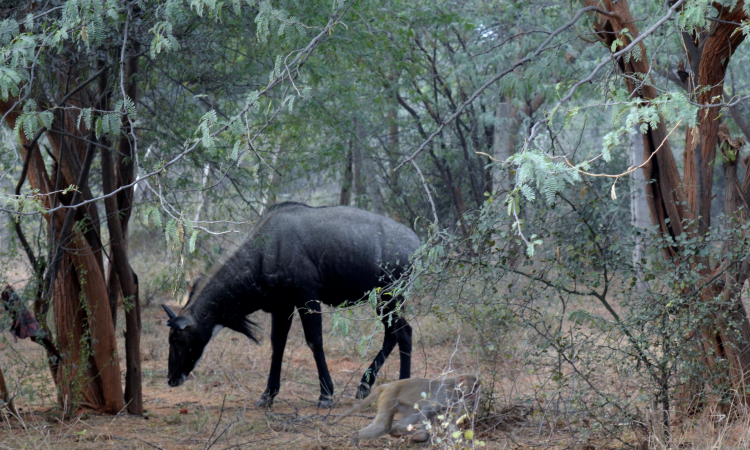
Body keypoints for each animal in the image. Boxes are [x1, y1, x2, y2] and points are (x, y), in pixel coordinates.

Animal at [162, 203, 420, 408]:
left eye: (176, 338)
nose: (171, 379)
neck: (263, 252)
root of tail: (416, 243)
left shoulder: (307, 298)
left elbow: (314, 341)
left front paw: (325, 395)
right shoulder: (282, 306)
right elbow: (277, 345)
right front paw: (267, 395)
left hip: (389, 297)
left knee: (403, 332)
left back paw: (401, 385)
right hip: (384, 302)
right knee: (395, 333)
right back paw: (366, 386)